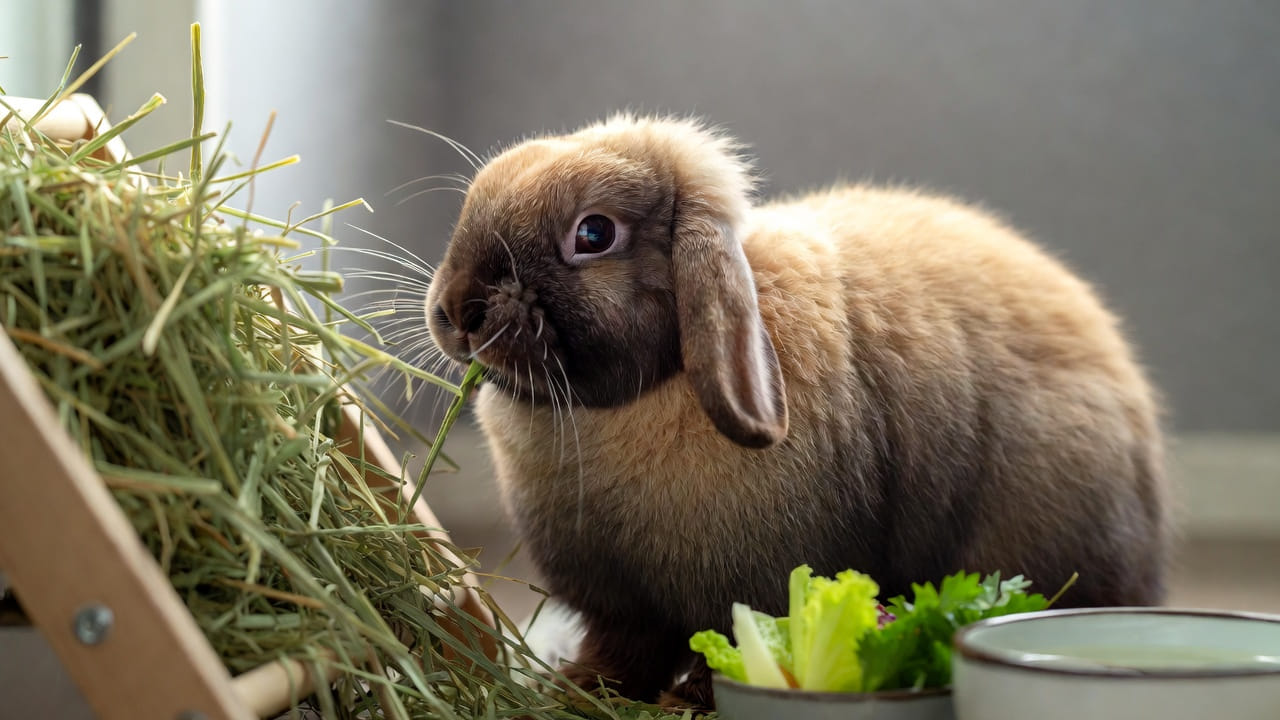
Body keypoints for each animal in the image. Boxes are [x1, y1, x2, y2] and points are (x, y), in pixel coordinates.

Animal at [423, 114, 1171, 707]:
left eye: (594, 233)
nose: (458, 309)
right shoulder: (621, 609)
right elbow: (622, 652)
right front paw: (579, 687)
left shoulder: (743, 588)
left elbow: (721, 645)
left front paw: (692, 699)